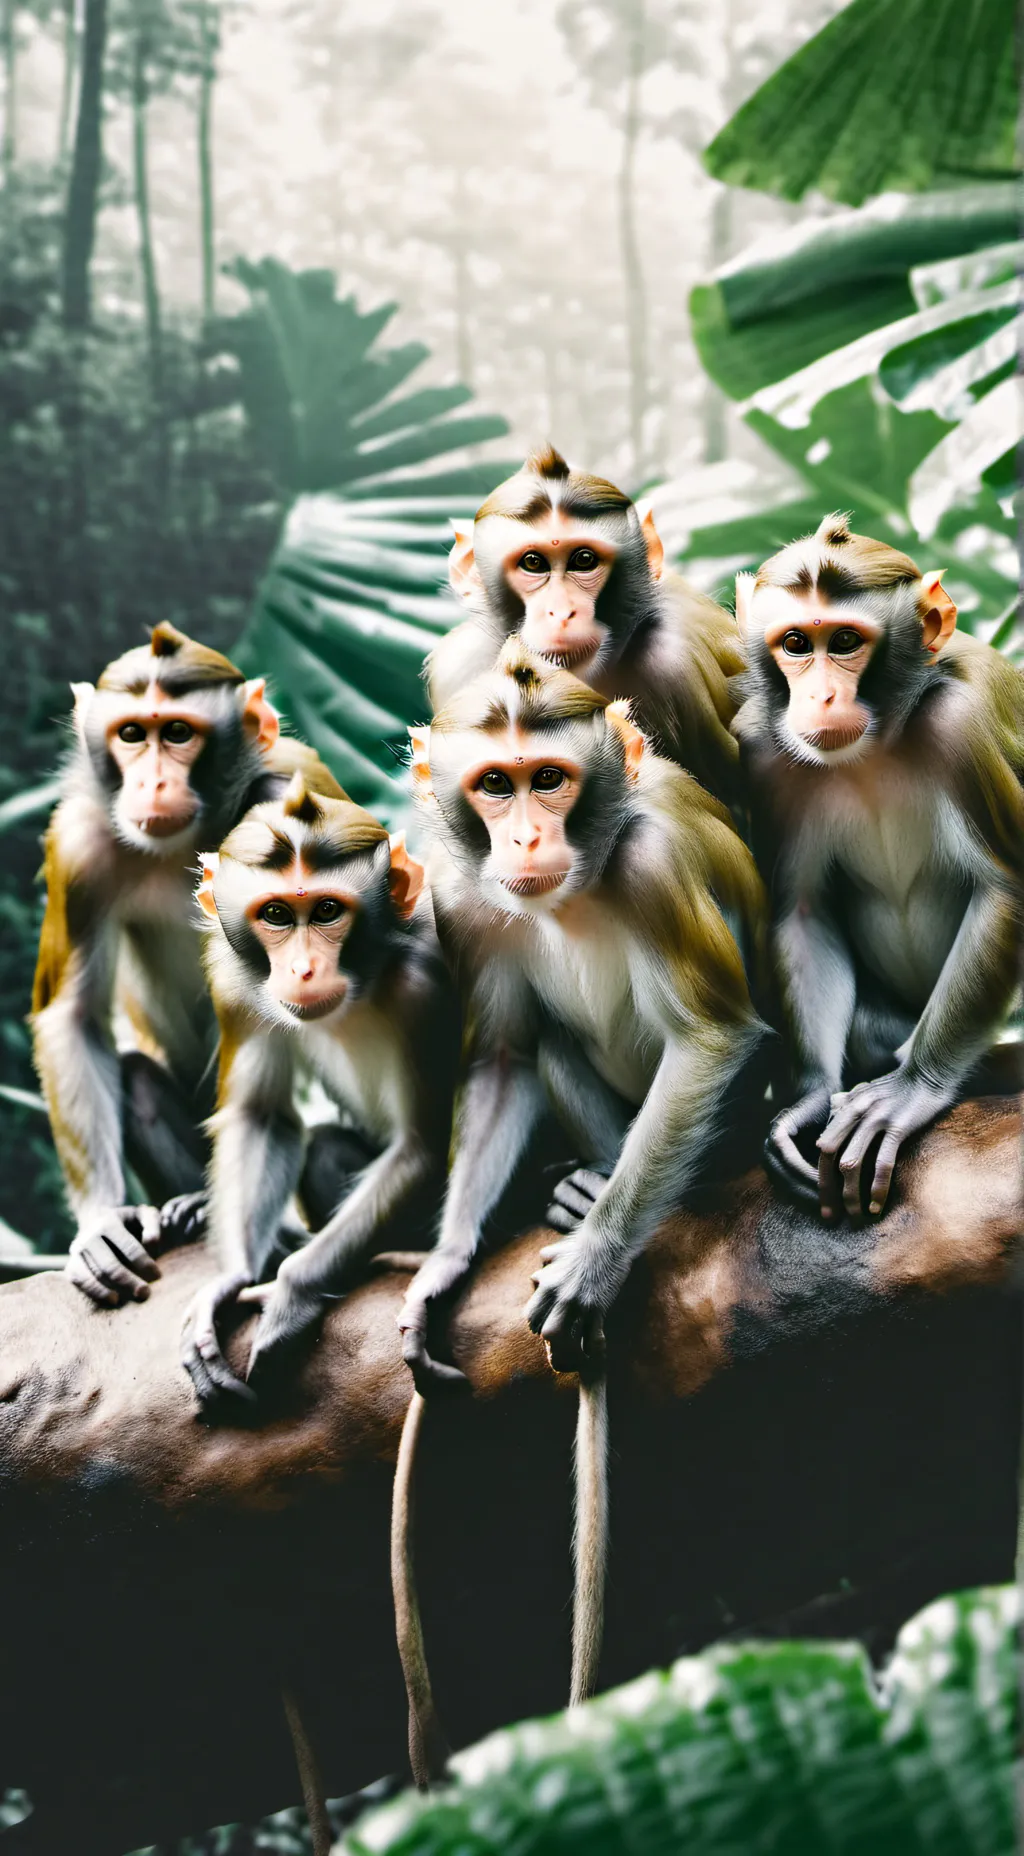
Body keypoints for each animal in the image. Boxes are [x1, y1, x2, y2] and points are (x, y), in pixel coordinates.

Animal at [31, 622, 342, 1310]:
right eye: (130, 734)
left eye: (177, 733)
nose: (150, 782)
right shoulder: (80, 842)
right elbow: (73, 1015)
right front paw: (101, 1222)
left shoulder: (293, 786)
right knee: (138, 1079)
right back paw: (193, 1204)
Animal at [179, 772, 459, 1407]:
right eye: (277, 914)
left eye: (328, 910)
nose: (303, 969)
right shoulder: (234, 983)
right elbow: (260, 1116)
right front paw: (229, 1280)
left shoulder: (424, 986)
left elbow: (420, 1148)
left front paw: (292, 1292)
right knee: (324, 1144)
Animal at [733, 512, 1024, 1222]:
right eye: (794, 644)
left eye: (844, 641)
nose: (820, 695)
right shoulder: (764, 753)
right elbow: (802, 910)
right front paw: (810, 1097)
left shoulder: (962, 724)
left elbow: (1004, 888)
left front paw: (911, 1089)